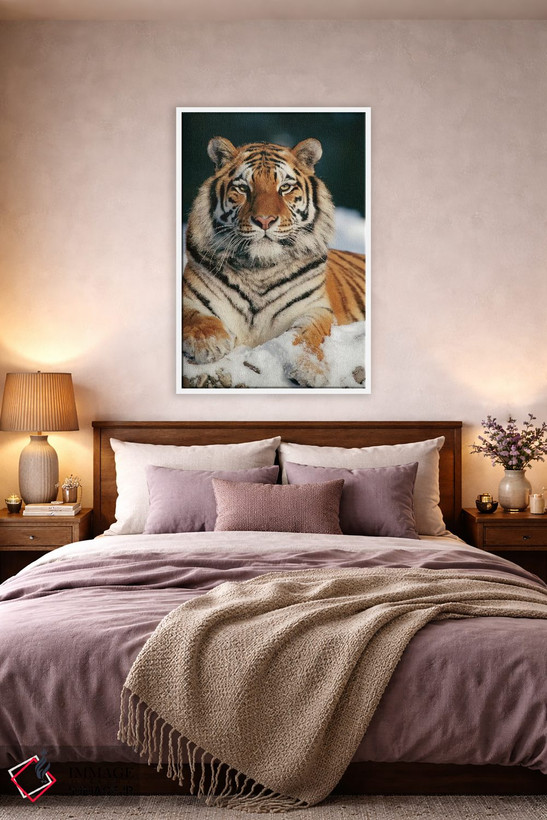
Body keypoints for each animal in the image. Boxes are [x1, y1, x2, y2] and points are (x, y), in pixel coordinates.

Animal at [182, 136, 365, 387]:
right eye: (243, 188)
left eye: (285, 187)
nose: (264, 220)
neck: (259, 268)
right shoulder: (189, 297)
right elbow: (193, 316)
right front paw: (209, 343)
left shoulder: (316, 309)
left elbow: (310, 335)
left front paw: (310, 369)